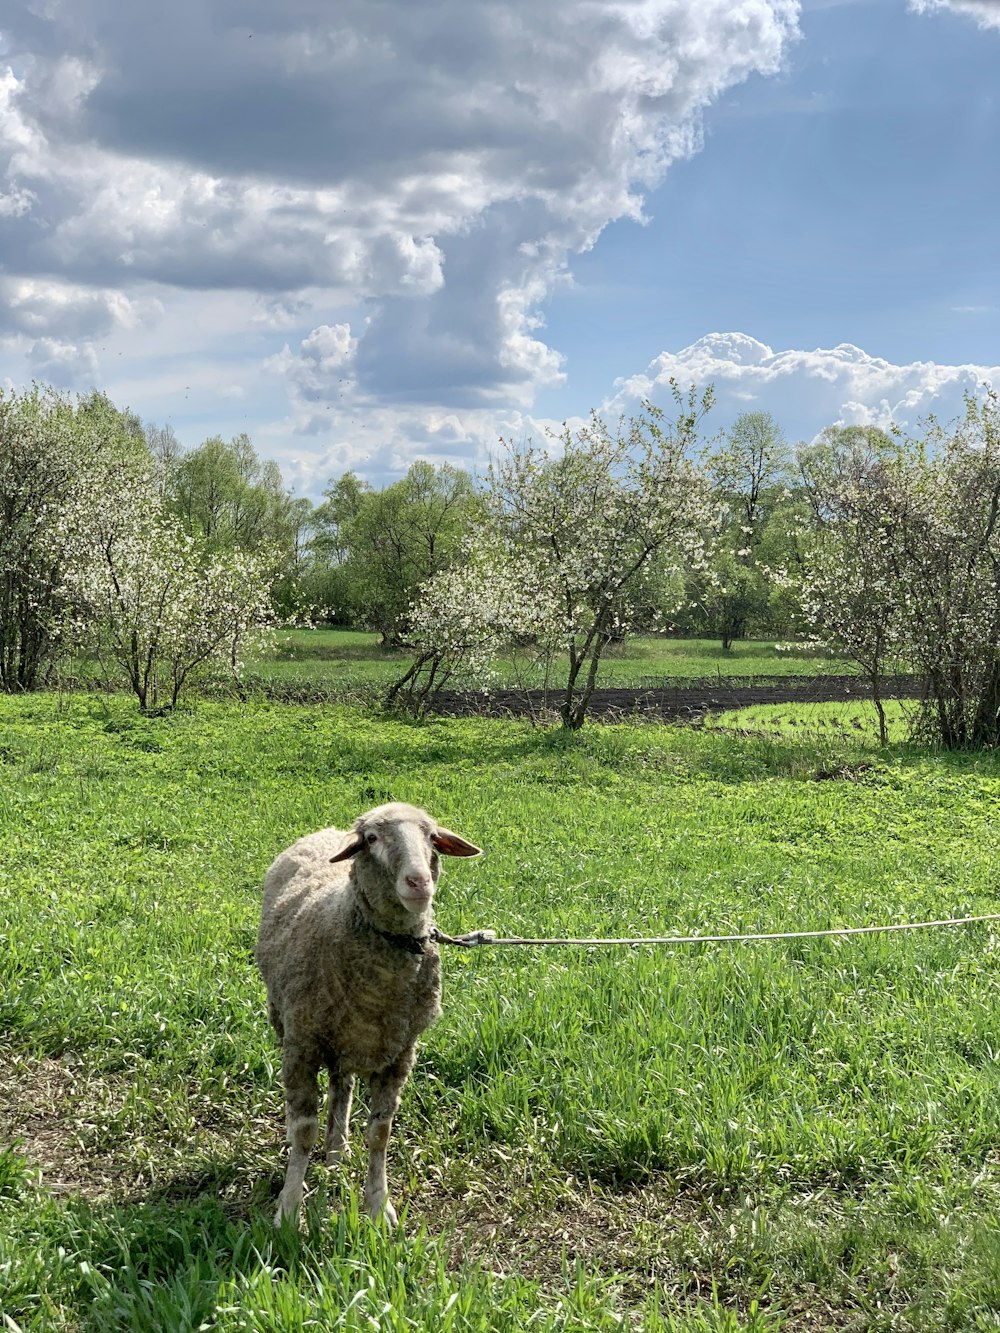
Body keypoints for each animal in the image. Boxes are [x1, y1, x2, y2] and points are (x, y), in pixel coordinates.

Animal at [254, 799, 482, 1226]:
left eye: (432, 837)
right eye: (372, 838)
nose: (419, 883)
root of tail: (326, 831)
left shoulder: (400, 1052)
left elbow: (380, 1133)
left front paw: (379, 1205)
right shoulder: (302, 1044)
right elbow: (304, 1130)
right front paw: (289, 1208)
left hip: (344, 1040)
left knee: (341, 1086)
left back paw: (337, 1149)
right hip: (289, 1020)